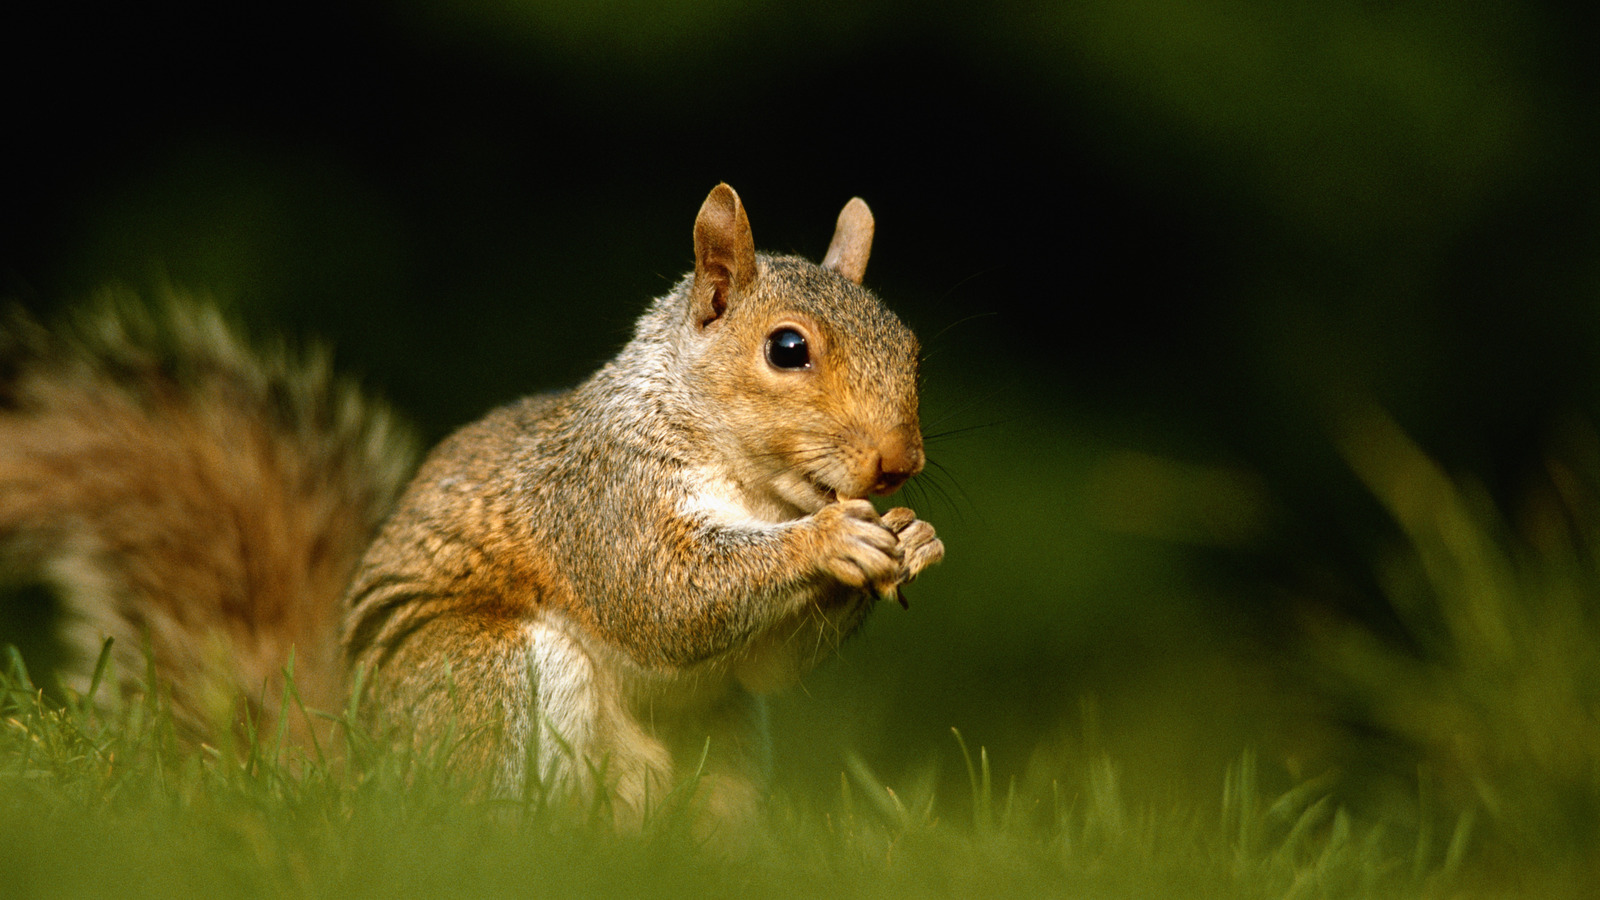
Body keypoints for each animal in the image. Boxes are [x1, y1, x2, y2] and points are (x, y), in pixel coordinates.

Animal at [0, 184, 940, 826]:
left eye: (913, 347)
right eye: (787, 349)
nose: (900, 465)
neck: (756, 487)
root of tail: (352, 773)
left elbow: (766, 662)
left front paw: (915, 538)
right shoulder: (600, 497)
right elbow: (662, 596)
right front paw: (829, 540)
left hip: (726, 743)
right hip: (474, 676)